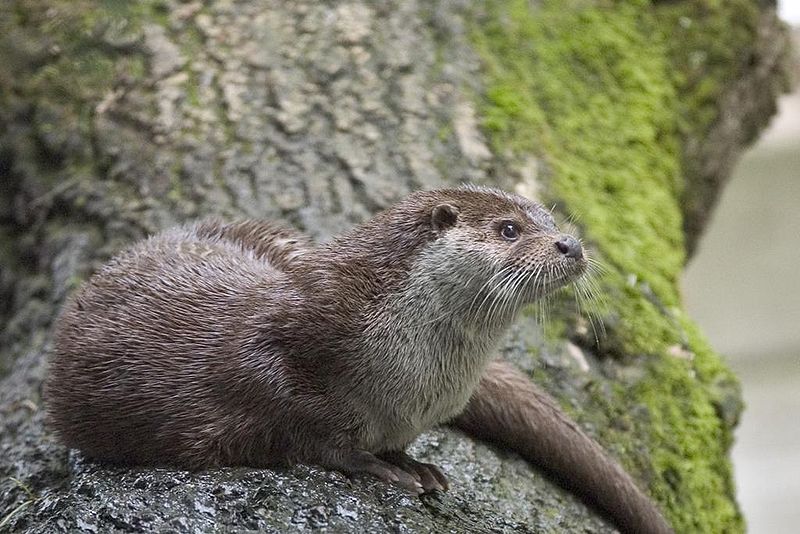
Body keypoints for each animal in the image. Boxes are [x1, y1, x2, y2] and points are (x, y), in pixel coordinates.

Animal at [47, 187, 672, 534]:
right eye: (509, 229)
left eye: (550, 219)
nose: (572, 244)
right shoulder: (282, 356)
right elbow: (305, 429)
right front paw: (378, 466)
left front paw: (412, 462)